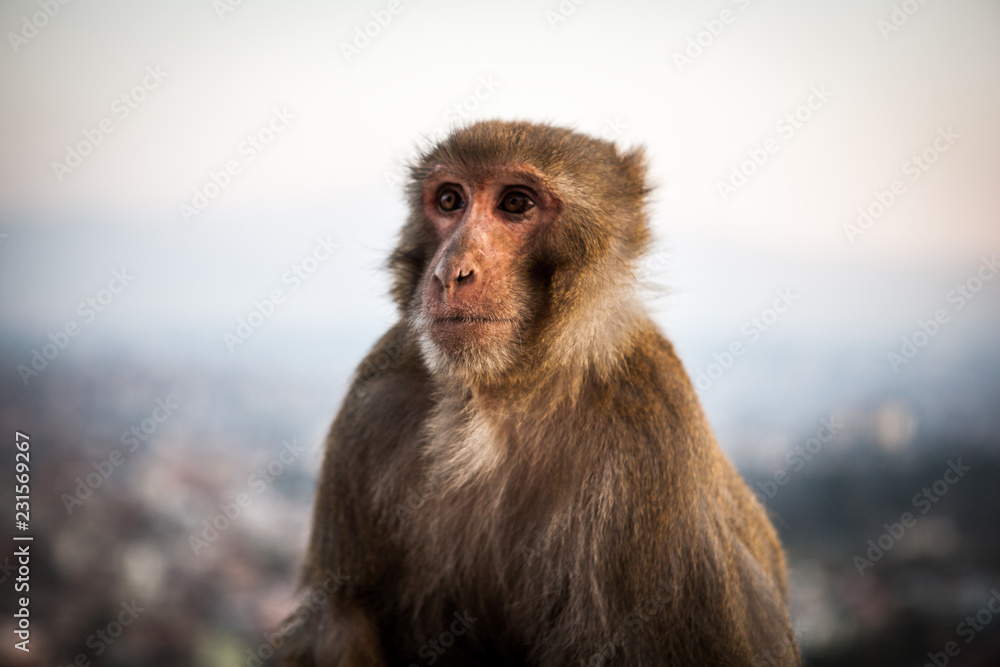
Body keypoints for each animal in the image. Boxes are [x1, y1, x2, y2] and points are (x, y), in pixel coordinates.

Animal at [282, 120, 799, 666]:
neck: (503, 395)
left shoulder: (656, 433)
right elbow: (338, 613)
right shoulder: (373, 402)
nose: (449, 272)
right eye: (449, 200)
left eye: (516, 203)